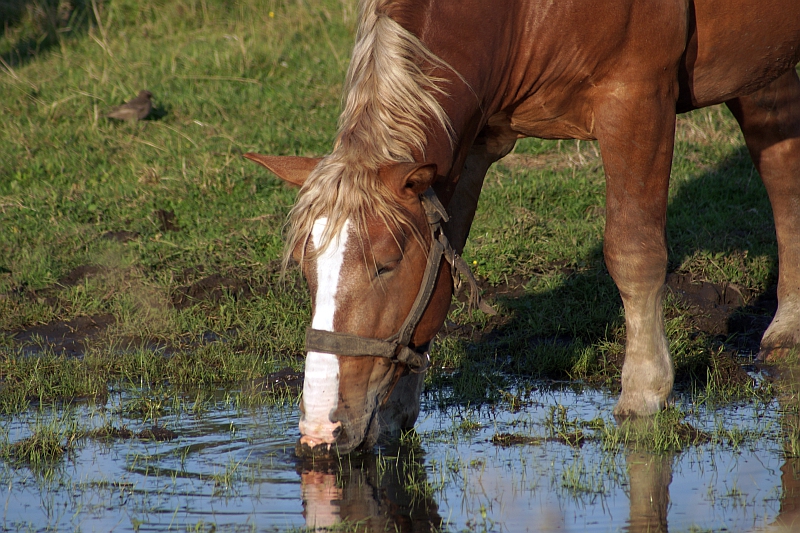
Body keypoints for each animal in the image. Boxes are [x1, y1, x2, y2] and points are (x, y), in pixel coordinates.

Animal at [244, 1, 800, 458]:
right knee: (782, 169)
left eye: (385, 265)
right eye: (307, 272)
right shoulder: (467, 145)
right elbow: (447, 261)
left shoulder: (638, 100)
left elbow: (633, 252)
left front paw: (645, 391)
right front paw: (396, 410)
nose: (320, 430)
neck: (521, 13)